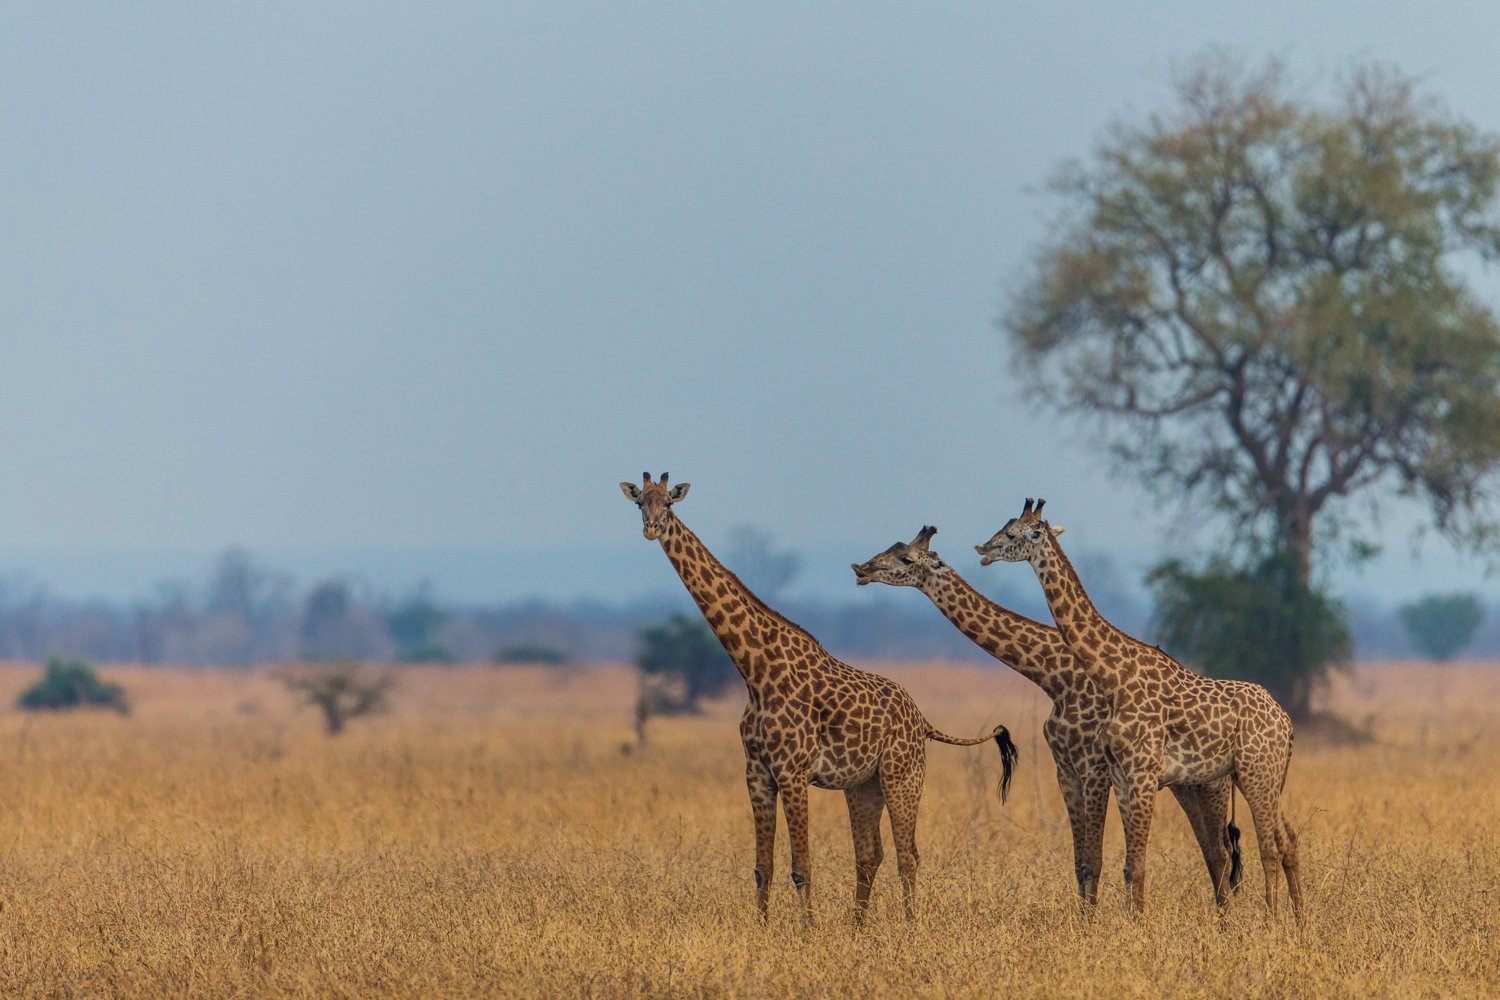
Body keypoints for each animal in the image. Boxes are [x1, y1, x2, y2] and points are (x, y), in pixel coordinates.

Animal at [621, 473, 1018, 925]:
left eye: (669, 504)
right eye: (640, 503)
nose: (652, 528)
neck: (754, 672)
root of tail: (923, 719)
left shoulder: (792, 771)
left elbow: (801, 866)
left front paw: (808, 932)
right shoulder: (757, 772)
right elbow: (763, 866)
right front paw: (763, 931)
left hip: (904, 776)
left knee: (909, 855)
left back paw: (910, 926)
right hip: (863, 785)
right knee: (870, 854)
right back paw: (858, 928)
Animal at [851, 525, 1243, 906]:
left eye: (905, 558)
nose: (861, 569)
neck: (1055, 678)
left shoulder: (1094, 767)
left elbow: (1094, 859)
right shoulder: (1065, 767)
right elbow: (1080, 862)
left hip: (1211, 784)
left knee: (1220, 852)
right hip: (1184, 784)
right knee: (1214, 850)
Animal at [975, 499, 1303, 917]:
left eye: (1014, 533)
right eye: (1004, 527)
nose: (983, 550)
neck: (1115, 676)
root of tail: (1286, 722)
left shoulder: (1142, 772)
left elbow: (1138, 865)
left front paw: (1137, 926)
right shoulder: (1119, 775)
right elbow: (1128, 865)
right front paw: (1131, 923)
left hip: (1254, 774)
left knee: (1267, 847)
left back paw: (1273, 921)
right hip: (1268, 776)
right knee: (1284, 840)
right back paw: (1298, 920)